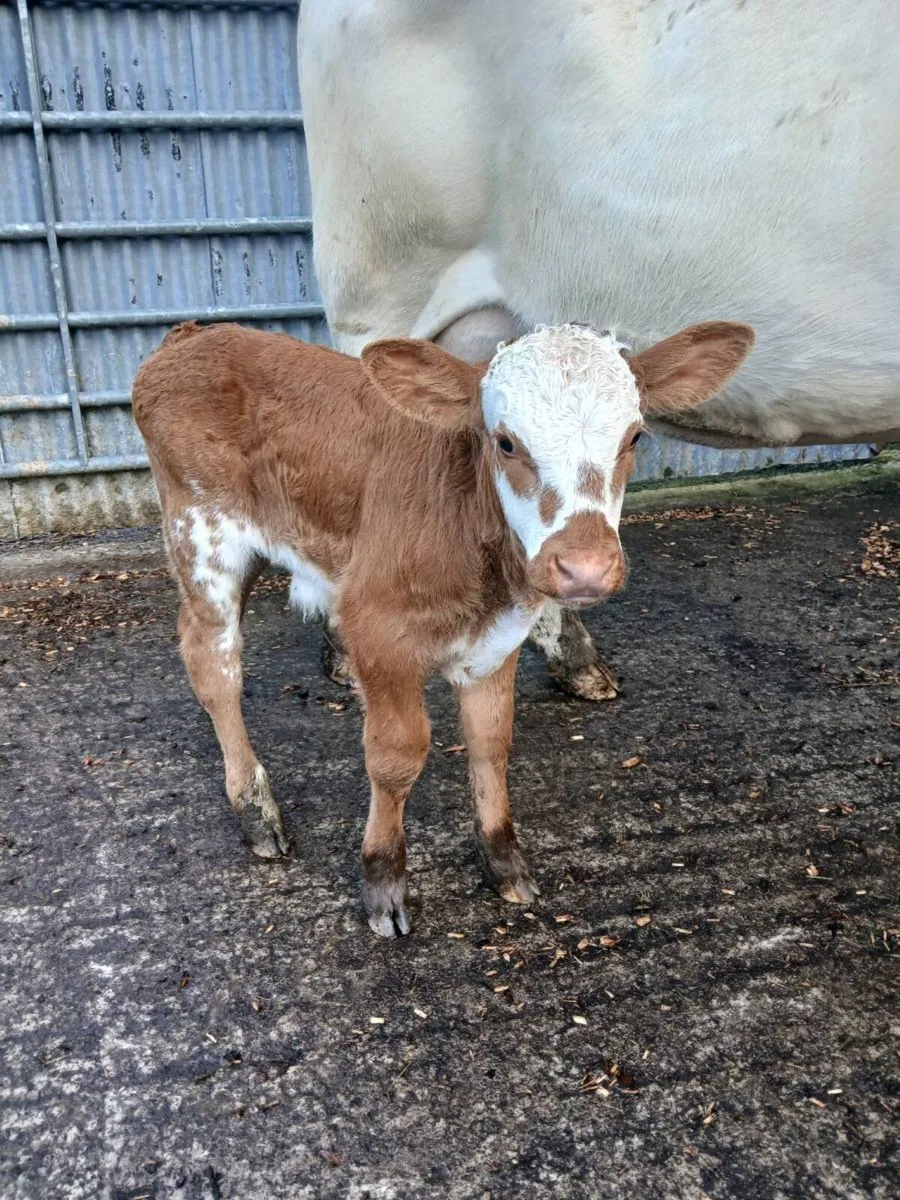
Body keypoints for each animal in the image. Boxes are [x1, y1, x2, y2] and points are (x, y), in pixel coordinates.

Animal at [132, 318, 754, 935]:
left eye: (635, 438)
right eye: (505, 442)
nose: (585, 568)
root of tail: (194, 334)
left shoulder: (496, 639)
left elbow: (491, 741)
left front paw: (503, 860)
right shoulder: (378, 629)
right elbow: (397, 755)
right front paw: (382, 878)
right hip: (202, 538)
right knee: (214, 666)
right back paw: (256, 811)